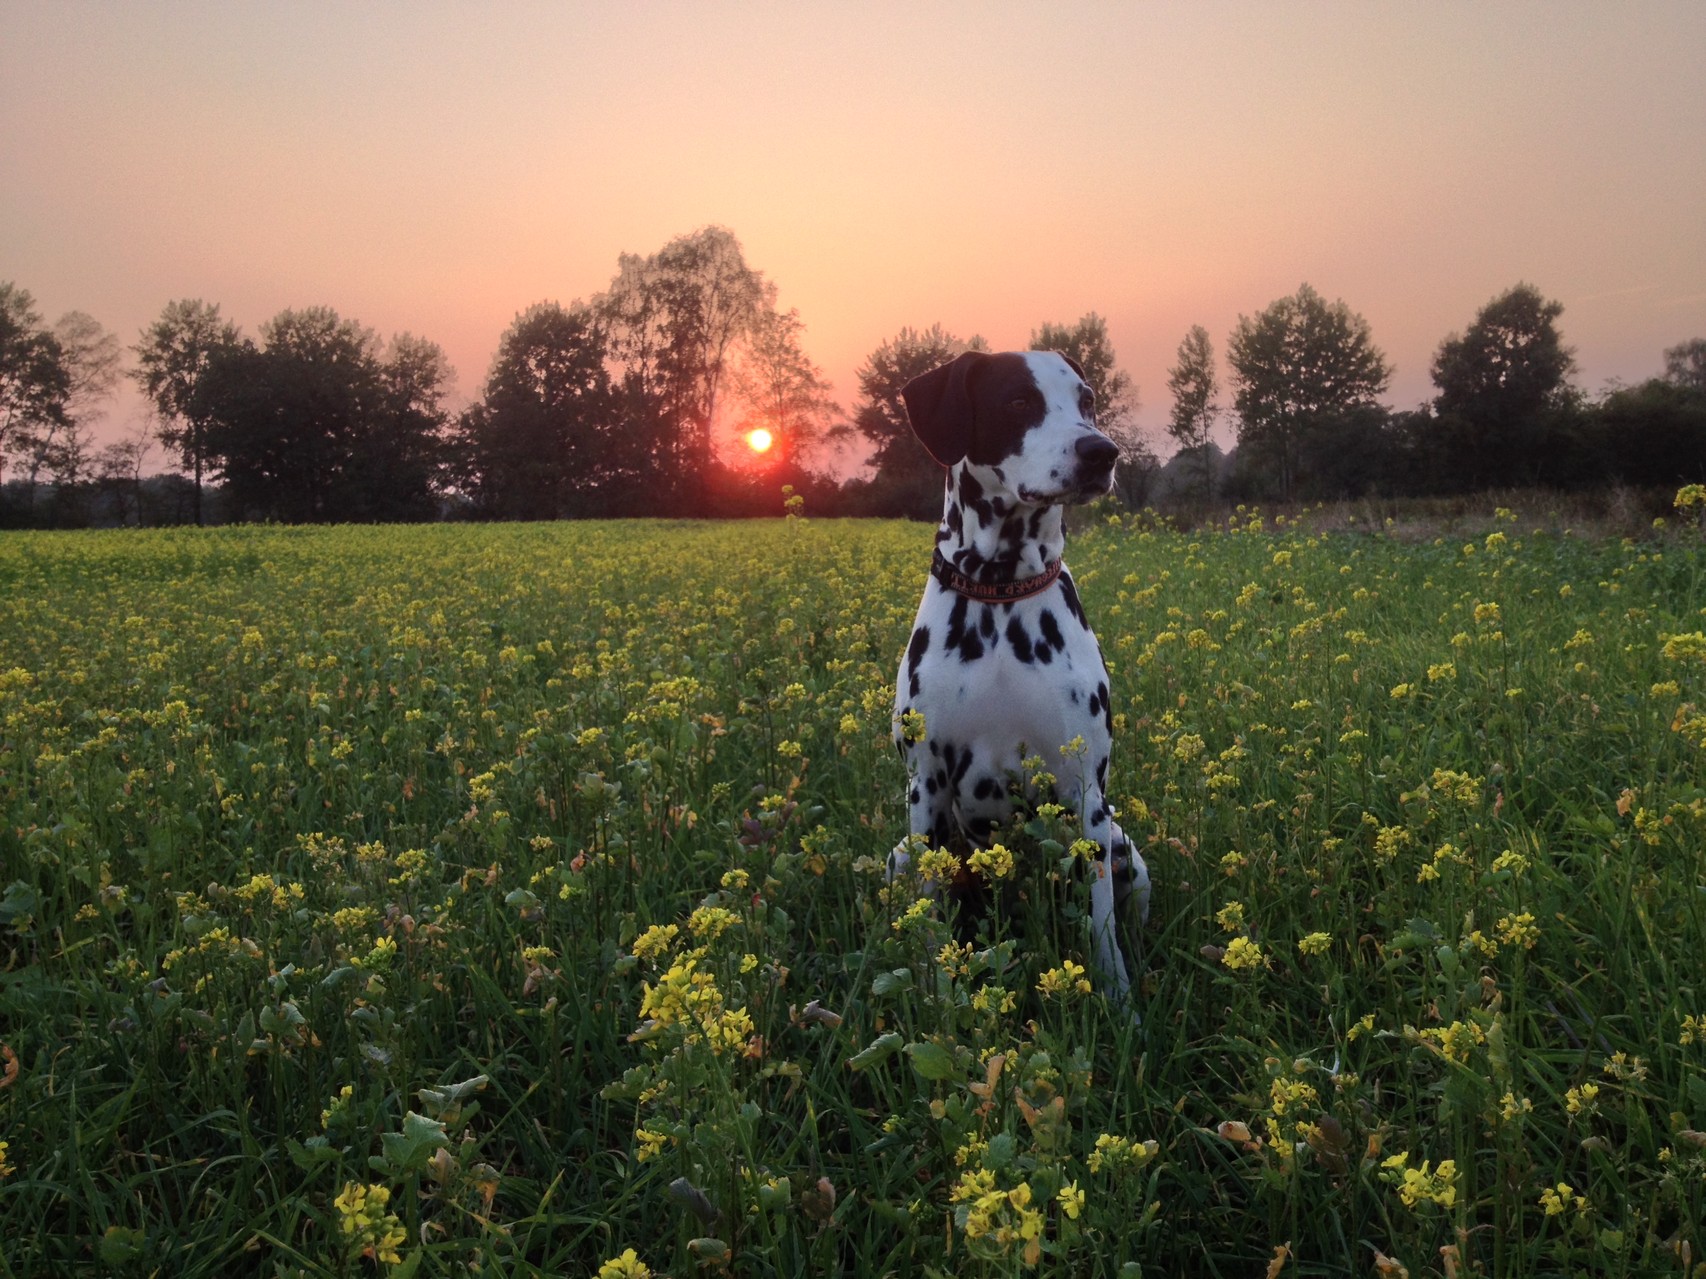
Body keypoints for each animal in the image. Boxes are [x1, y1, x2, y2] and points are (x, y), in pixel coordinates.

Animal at [887, 347, 1153, 1002]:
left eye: (1086, 400)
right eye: (1017, 401)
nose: (1101, 452)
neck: (1000, 592)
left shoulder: (1085, 790)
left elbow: (1102, 926)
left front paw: (1119, 1003)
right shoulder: (926, 785)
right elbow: (930, 922)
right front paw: (938, 997)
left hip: (1123, 847)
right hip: (901, 853)